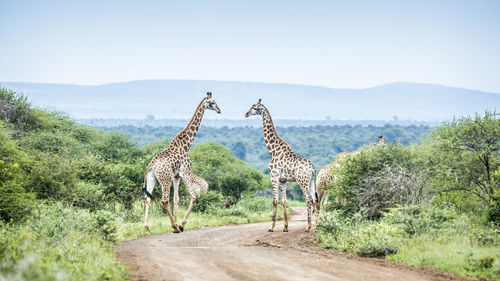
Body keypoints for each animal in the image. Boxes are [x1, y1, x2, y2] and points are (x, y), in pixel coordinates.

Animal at [141, 92, 219, 232]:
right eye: (212, 102)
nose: (219, 110)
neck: (186, 145)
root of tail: (151, 166)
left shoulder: (176, 175)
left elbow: (176, 199)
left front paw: (178, 223)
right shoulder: (185, 171)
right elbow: (193, 197)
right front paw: (181, 225)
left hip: (152, 178)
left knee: (147, 198)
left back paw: (147, 227)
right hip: (165, 179)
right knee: (164, 200)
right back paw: (175, 227)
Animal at [245, 99, 316, 231]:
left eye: (256, 108)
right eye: (251, 106)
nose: (246, 114)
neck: (272, 150)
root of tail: (312, 168)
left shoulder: (273, 176)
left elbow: (274, 200)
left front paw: (271, 226)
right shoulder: (283, 180)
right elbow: (284, 201)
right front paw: (285, 227)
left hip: (302, 181)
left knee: (308, 199)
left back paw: (308, 227)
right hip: (311, 181)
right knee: (314, 199)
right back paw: (318, 225)